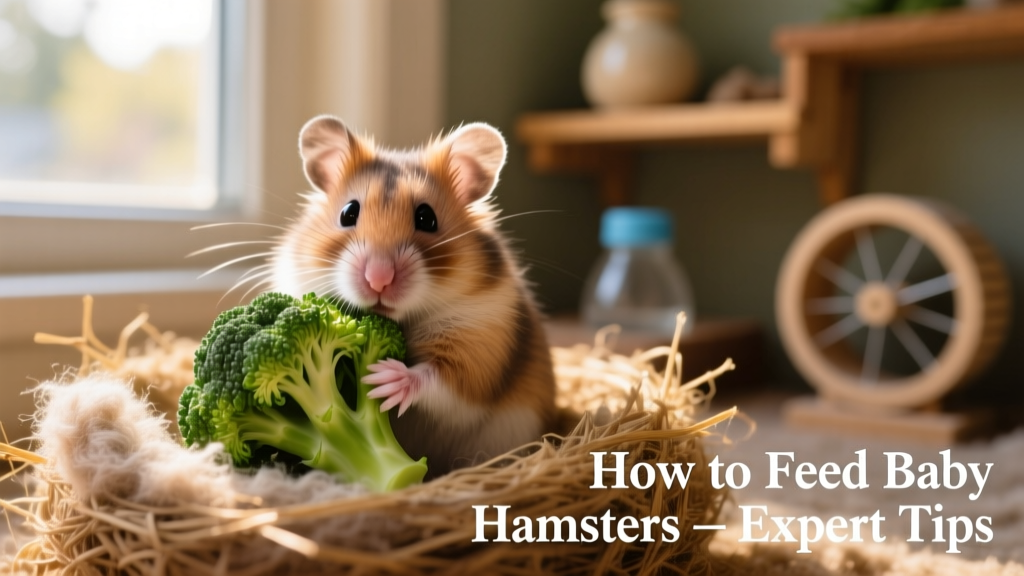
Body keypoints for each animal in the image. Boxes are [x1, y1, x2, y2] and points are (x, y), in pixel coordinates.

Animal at [270, 115, 556, 474]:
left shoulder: (479, 348)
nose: (378, 279)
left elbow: (443, 381)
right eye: (349, 212)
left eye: (426, 218)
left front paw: (383, 379)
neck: (402, 320)